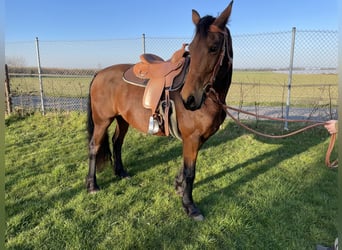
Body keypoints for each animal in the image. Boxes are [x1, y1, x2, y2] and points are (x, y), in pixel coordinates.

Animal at [87, 1, 234, 221]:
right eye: (192, 48)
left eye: (214, 48)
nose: (189, 99)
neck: (210, 96)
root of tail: (99, 73)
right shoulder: (192, 137)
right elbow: (190, 172)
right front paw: (190, 206)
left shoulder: (197, 138)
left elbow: (186, 168)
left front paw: (179, 187)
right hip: (102, 121)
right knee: (94, 147)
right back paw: (92, 185)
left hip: (123, 120)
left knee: (117, 142)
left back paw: (121, 172)